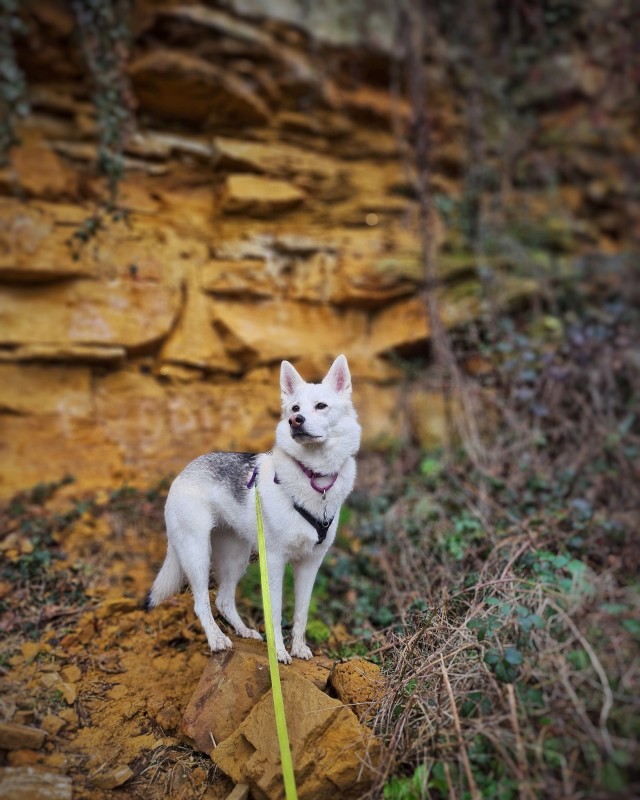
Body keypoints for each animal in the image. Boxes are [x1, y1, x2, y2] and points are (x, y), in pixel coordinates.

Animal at [148, 354, 362, 664]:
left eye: (321, 406)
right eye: (295, 408)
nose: (295, 421)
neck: (314, 476)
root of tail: (186, 470)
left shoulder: (310, 564)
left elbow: (301, 612)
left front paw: (298, 648)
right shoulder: (273, 562)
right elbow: (275, 612)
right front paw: (280, 654)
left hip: (235, 558)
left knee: (223, 600)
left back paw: (244, 631)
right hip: (197, 554)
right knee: (201, 602)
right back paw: (217, 640)